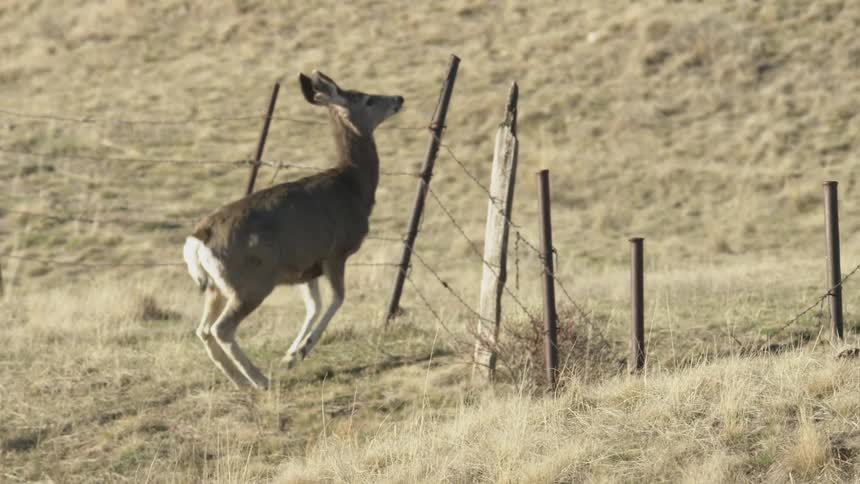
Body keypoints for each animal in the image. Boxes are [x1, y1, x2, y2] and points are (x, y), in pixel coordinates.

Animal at [182, 71, 404, 390]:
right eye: (368, 99)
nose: (399, 98)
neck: (353, 186)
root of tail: (198, 240)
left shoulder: (304, 267)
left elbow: (314, 306)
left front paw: (290, 355)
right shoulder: (335, 252)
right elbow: (337, 299)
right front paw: (298, 353)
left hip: (216, 286)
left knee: (203, 329)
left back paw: (239, 381)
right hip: (251, 283)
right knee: (221, 329)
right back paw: (259, 380)